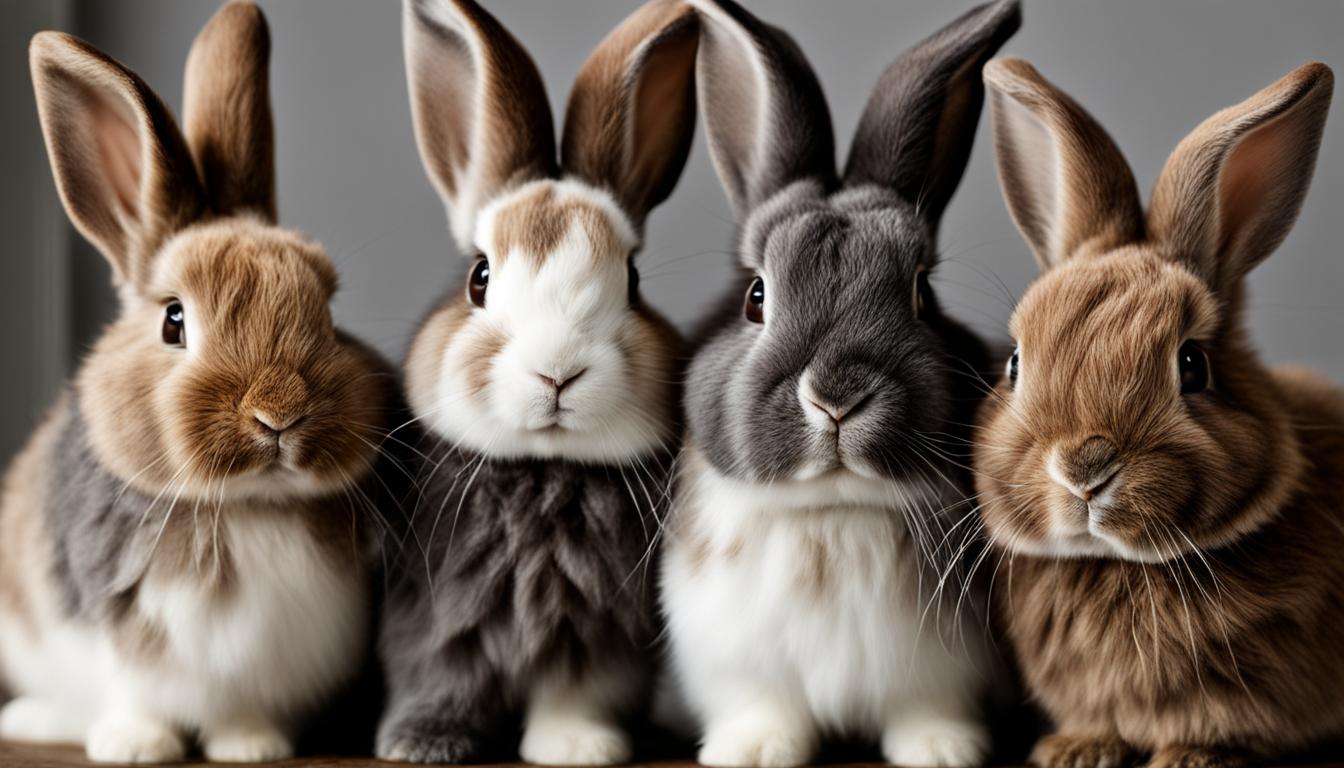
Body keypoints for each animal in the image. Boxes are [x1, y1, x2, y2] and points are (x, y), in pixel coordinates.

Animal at [0, 1, 397, 763]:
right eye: (173, 321)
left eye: (329, 313)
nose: (279, 414)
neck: (246, 508)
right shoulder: (109, 641)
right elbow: (134, 699)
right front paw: (135, 747)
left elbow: (241, 712)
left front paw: (252, 747)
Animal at [374, 0, 698, 764]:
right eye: (479, 277)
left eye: (632, 281)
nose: (558, 372)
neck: (544, 471)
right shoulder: (435, 627)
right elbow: (441, 683)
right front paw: (420, 744)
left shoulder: (596, 642)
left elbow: (576, 696)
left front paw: (581, 747)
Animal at [658, 1, 1022, 766]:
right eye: (756, 297)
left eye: (921, 295)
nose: (836, 397)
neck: (833, 512)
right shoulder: (736, 662)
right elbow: (761, 705)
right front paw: (754, 751)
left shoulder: (941, 669)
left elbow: (926, 709)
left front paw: (943, 750)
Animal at [974, 57, 1339, 768]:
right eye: (1015, 366)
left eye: (1192, 365)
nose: (1082, 468)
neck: (1117, 563)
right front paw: (1077, 749)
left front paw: (1192, 757)